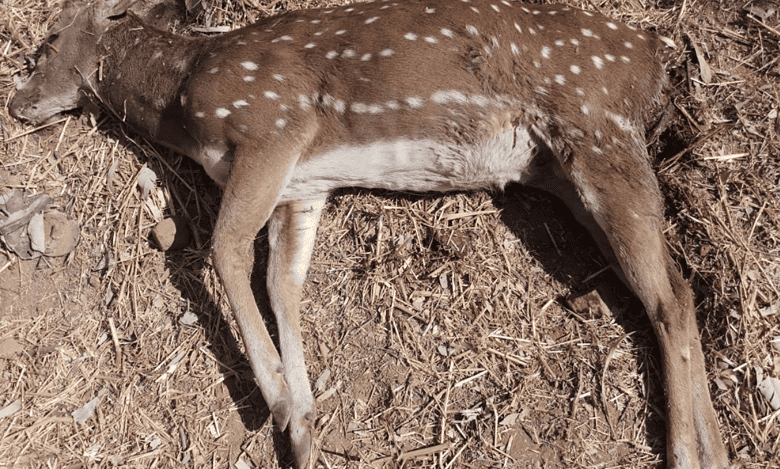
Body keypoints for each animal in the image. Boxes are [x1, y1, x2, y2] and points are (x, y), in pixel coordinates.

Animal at [8, 0, 731, 467]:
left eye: (48, 42)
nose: (16, 105)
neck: (183, 102)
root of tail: (652, 64)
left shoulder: (270, 126)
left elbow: (224, 250)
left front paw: (278, 402)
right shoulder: (303, 187)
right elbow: (282, 282)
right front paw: (302, 425)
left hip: (598, 130)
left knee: (670, 294)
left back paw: (686, 451)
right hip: (568, 167)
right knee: (670, 293)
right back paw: (716, 448)